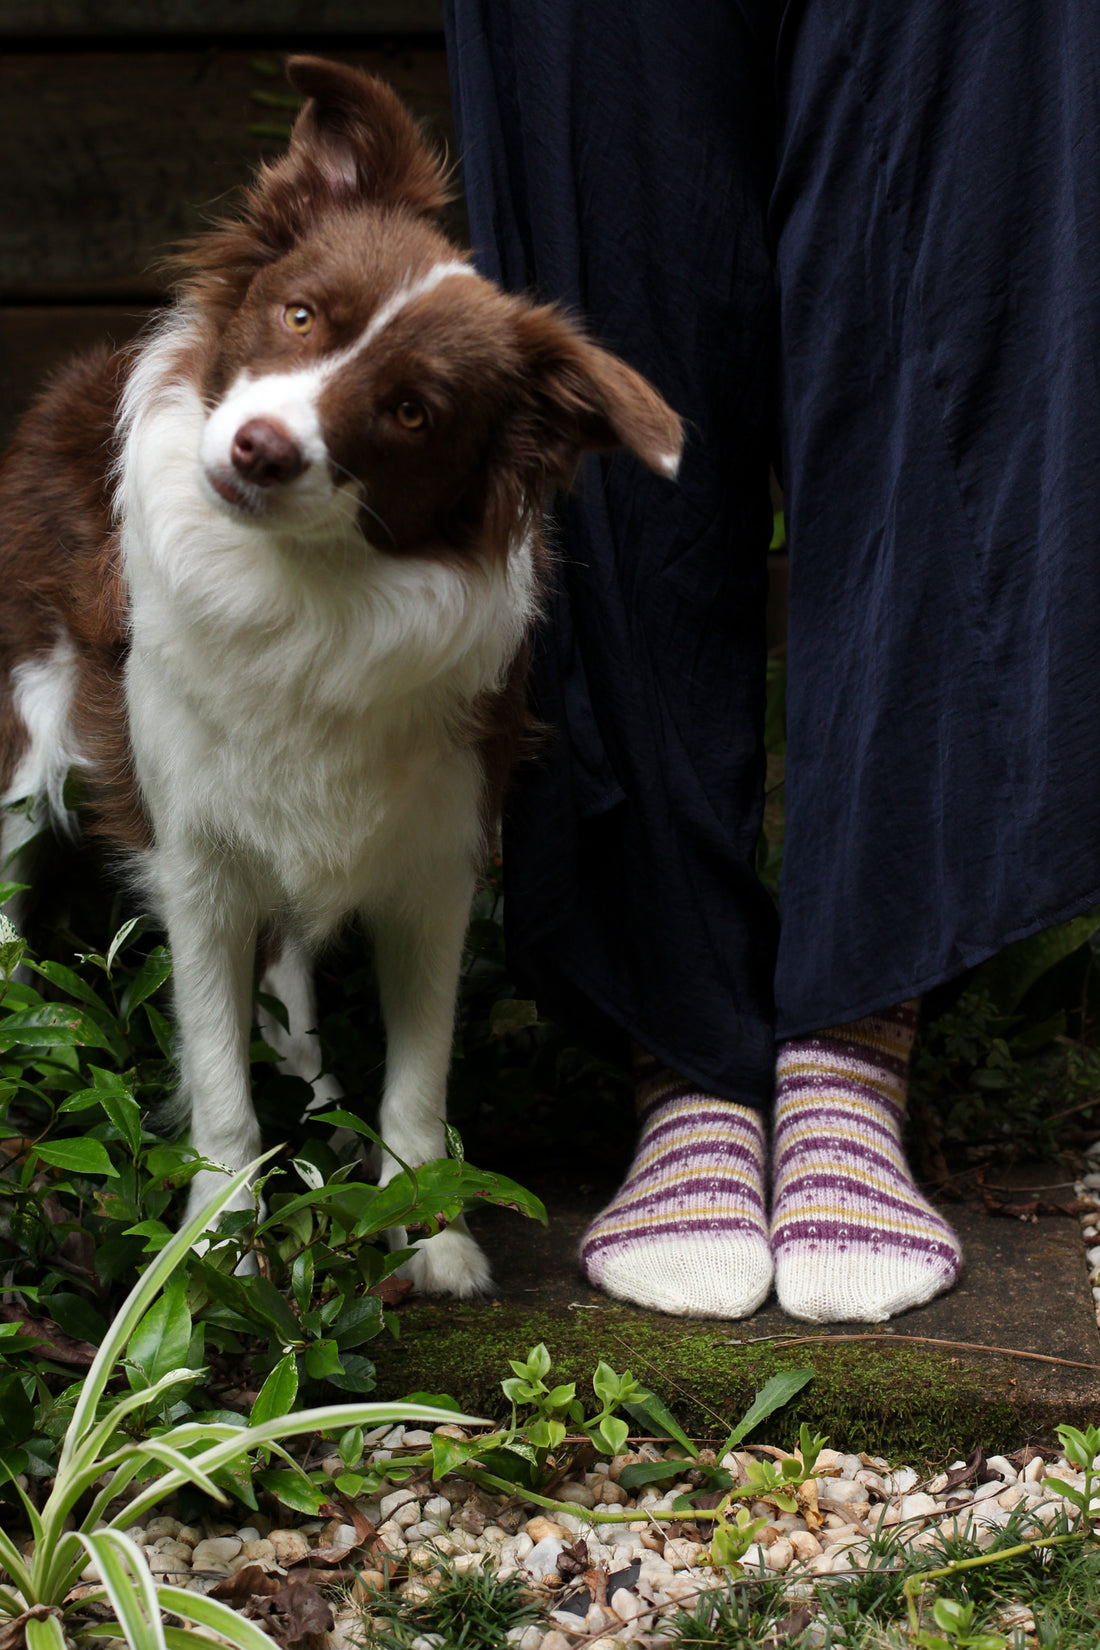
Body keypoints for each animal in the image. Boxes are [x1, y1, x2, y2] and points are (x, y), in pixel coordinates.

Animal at [0, 58, 679, 1293]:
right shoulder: (195, 858)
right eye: (301, 313)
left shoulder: (437, 859)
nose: (261, 448)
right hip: (29, 735)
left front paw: (424, 1227)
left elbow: (416, 1079)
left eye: (412, 411)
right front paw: (222, 1239)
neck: (309, 596)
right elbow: (216, 1078)